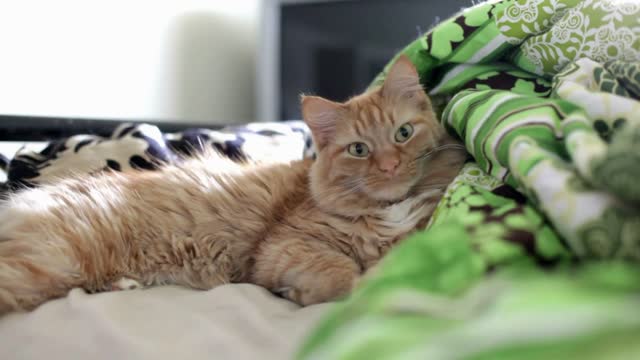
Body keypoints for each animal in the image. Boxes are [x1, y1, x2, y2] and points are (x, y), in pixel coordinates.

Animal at [0, 54, 462, 314]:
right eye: (360, 149)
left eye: (403, 134)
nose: (389, 165)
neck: (385, 212)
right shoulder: (283, 247)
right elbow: (342, 273)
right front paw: (311, 293)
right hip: (48, 263)